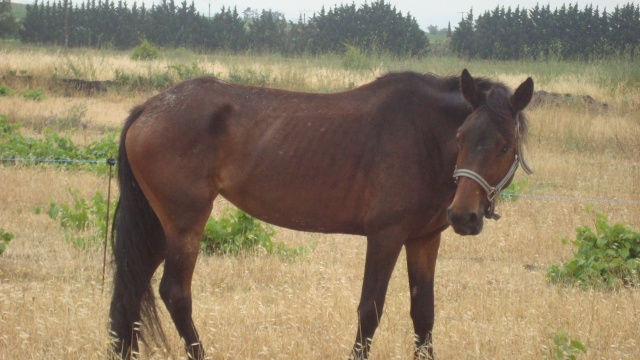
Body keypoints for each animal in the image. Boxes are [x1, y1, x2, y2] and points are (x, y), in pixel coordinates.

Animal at [110, 69, 536, 358]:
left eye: (504, 145)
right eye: (461, 137)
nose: (464, 217)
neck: (423, 136)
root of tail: (149, 107)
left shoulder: (423, 239)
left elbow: (423, 314)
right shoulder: (386, 236)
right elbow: (370, 311)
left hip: (157, 227)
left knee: (131, 289)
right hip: (184, 224)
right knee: (175, 293)